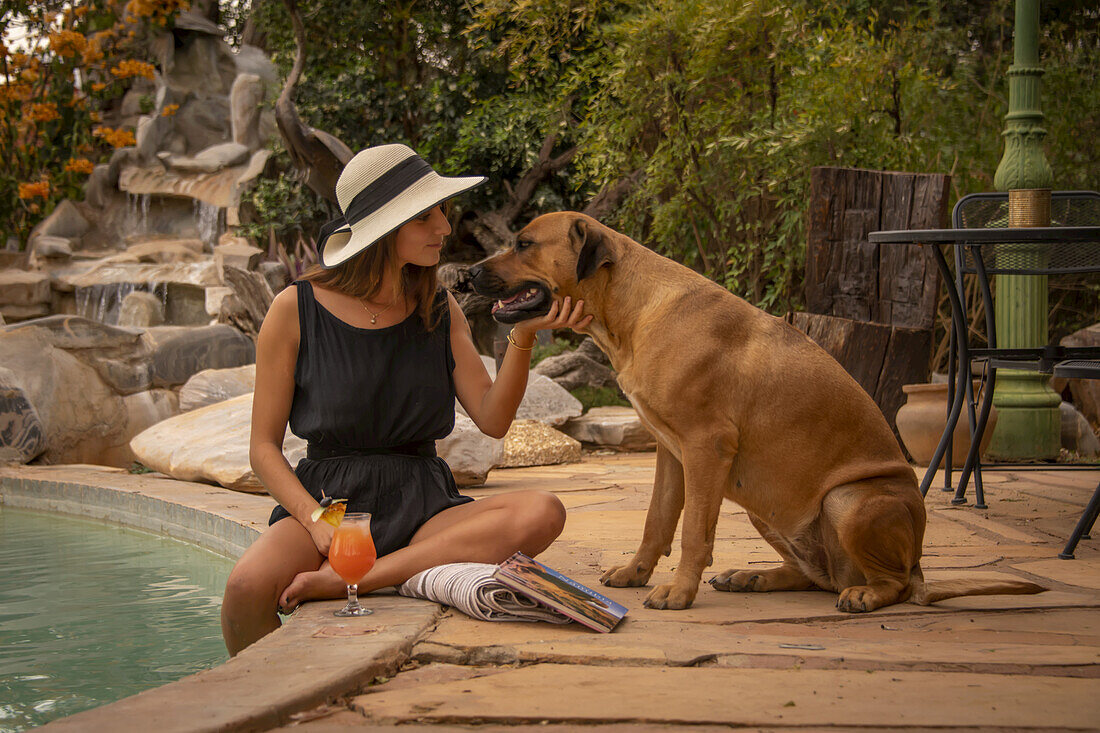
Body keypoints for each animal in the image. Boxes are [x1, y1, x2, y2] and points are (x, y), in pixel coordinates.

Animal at [466, 211, 1047, 611]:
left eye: (523, 244)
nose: (466, 274)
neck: (631, 311)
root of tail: (922, 560)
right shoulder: (671, 453)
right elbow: (657, 521)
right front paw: (636, 573)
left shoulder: (706, 447)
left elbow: (693, 532)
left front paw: (679, 592)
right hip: (766, 506)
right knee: (819, 576)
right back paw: (757, 576)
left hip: (847, 501)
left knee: (896, 584)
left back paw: (865, 595)